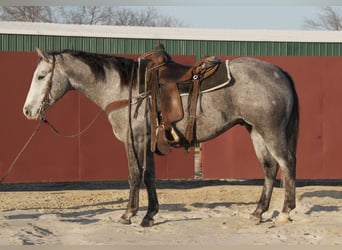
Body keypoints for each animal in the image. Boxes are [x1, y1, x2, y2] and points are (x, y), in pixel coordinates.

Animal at [22, 47, 298, 228]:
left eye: (41, 76)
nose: (28, 111)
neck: (124, 89)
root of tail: (280, 72)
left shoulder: (134, 140)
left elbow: (135, 175)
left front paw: (128, 214)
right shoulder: (147, 141)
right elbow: (149, 177)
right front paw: (149, 215)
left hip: (271, 131)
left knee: (287, 164)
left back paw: (285, 212)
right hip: (255, 130)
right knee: (269, 168)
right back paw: (258, 212)